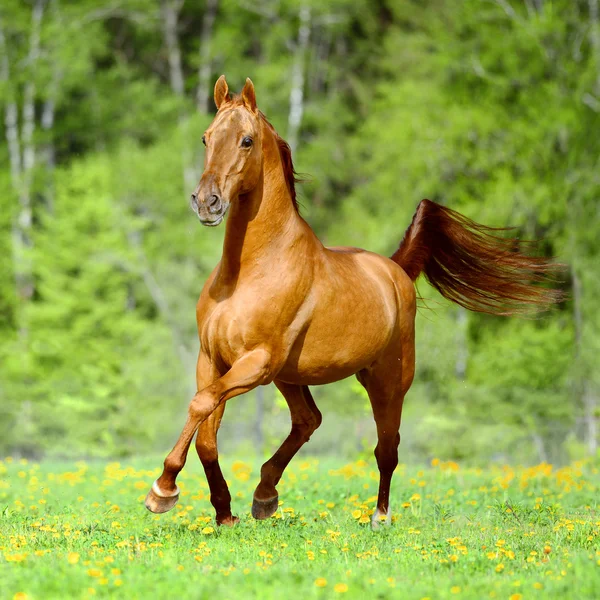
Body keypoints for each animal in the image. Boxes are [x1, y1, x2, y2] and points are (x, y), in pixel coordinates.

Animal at [145, 76, 564, 528]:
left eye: (246, 140)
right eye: (206, 138)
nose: (207, 202)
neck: (250, 271)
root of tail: (396, 270)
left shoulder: (256, 362)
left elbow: (201, 404)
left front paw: (162, 491)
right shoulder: (214, 359)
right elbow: (205, 429)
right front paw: (223, 513)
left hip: (385, 380)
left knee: (386, 448)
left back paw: (379, 516)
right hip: (291, 376)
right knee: (308, 420)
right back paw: (264, 496)